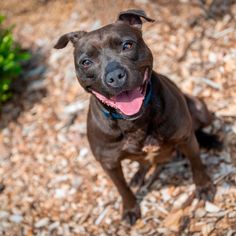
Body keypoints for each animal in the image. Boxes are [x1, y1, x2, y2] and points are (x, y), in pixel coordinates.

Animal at [54, 9, 221, 225]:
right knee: (143, 163)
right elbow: (122, 188)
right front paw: (130, 209)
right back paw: (138, 176)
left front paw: (204, 187)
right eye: (86, 62)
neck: (133, 122)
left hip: (200, 108)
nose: (115, 76)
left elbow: (197, 164)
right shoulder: (109, 163)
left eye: (127, 45)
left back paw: (210, 140)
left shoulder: (185, 137)